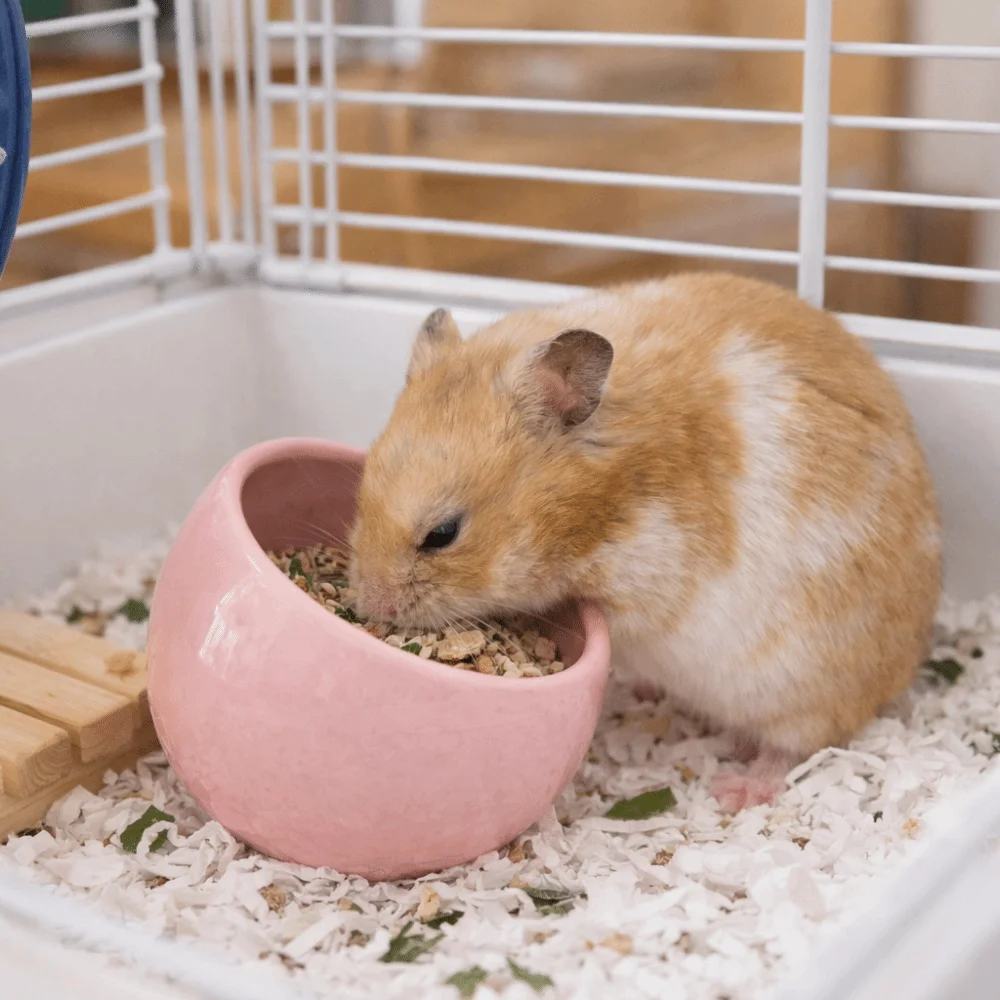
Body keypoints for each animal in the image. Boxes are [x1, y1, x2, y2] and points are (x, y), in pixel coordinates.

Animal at [349, 273, 942, 812]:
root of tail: (908, 662)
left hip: (799, 685)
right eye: (362, 488)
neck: (595, 509)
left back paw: (737, 791)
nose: (371, 606)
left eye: (442, 534)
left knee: (797, 746)